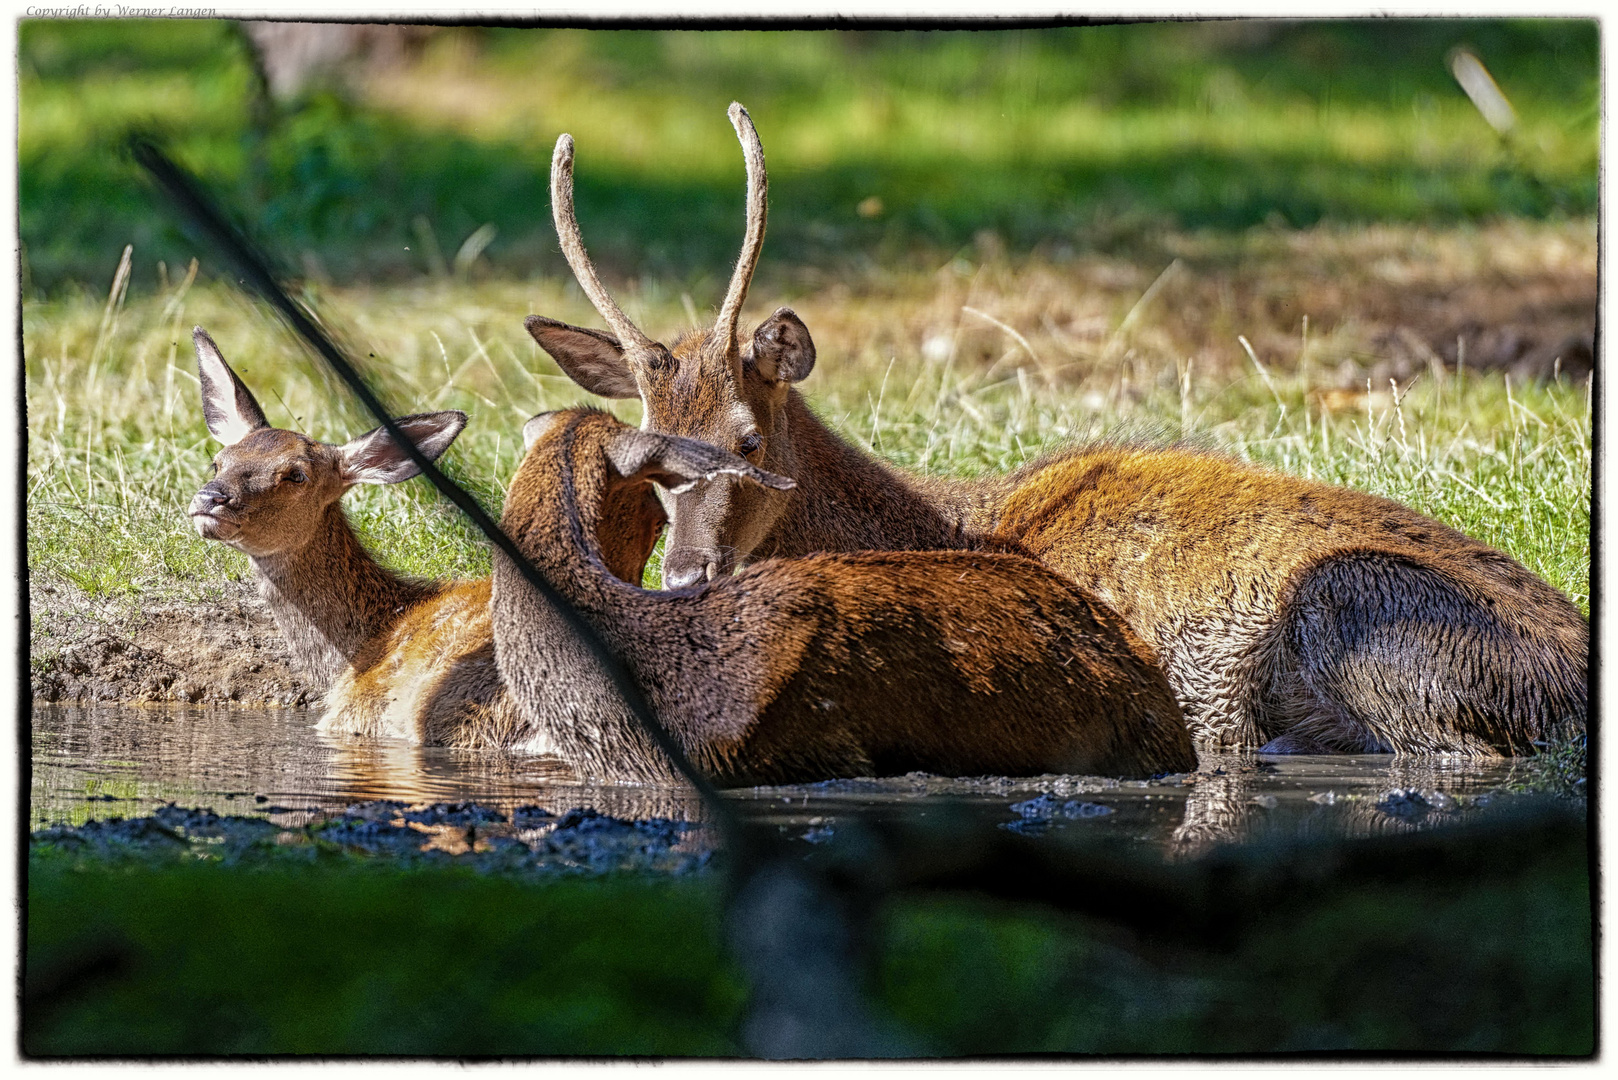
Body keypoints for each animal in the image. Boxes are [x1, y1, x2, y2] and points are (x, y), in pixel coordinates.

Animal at [524, 101, 1585, 761]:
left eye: (747, 439)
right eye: (645, 459)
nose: (685, 577)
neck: (946, 520)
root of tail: (1572, 681)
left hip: (1359, 610)